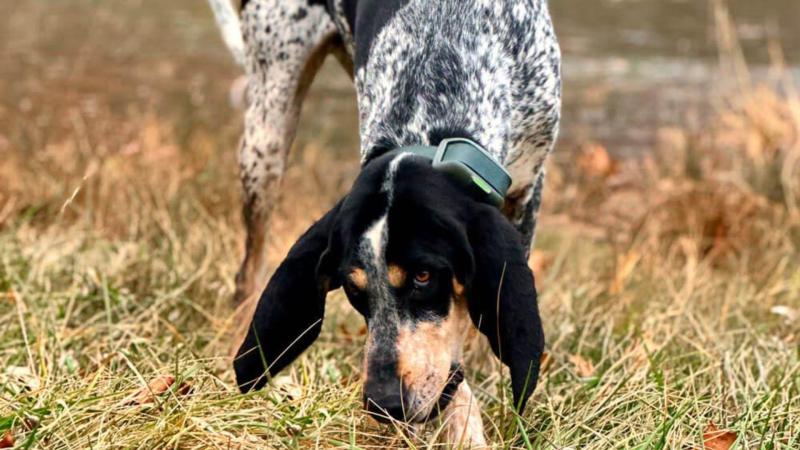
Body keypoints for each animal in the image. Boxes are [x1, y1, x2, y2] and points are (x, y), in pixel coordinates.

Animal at [209, 0, 560, 444]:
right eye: (353, 290)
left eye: (424, 277)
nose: (385, 404)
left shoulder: (528, 188)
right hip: (266, 129)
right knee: (247, 272)